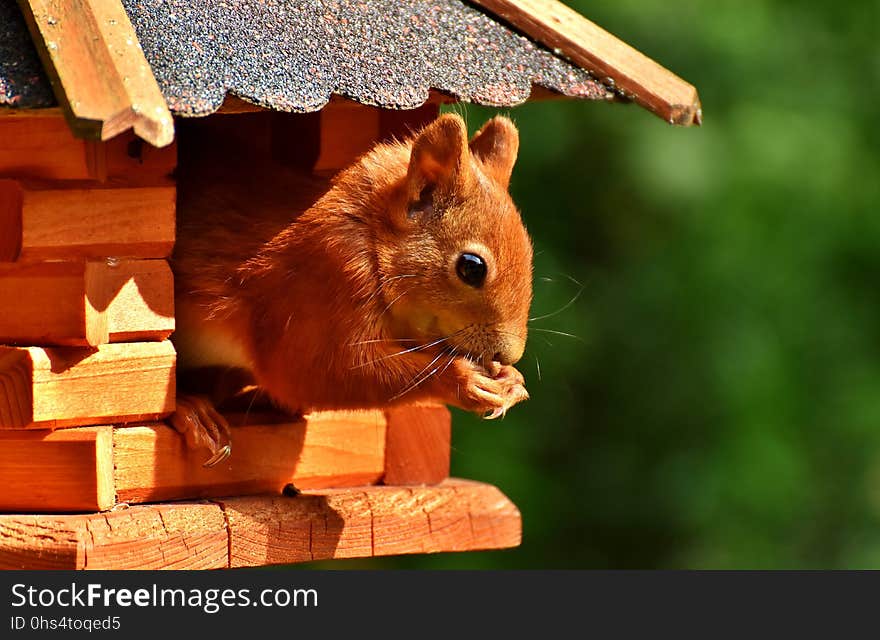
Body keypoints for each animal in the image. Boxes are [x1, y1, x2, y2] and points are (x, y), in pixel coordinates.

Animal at [170, 114, 528, 464]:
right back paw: (191, 410)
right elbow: (315, 373)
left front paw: (510, 380)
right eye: (471, 267)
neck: (370, 235)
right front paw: (464, 380)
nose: (507, 354)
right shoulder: (318, 282)